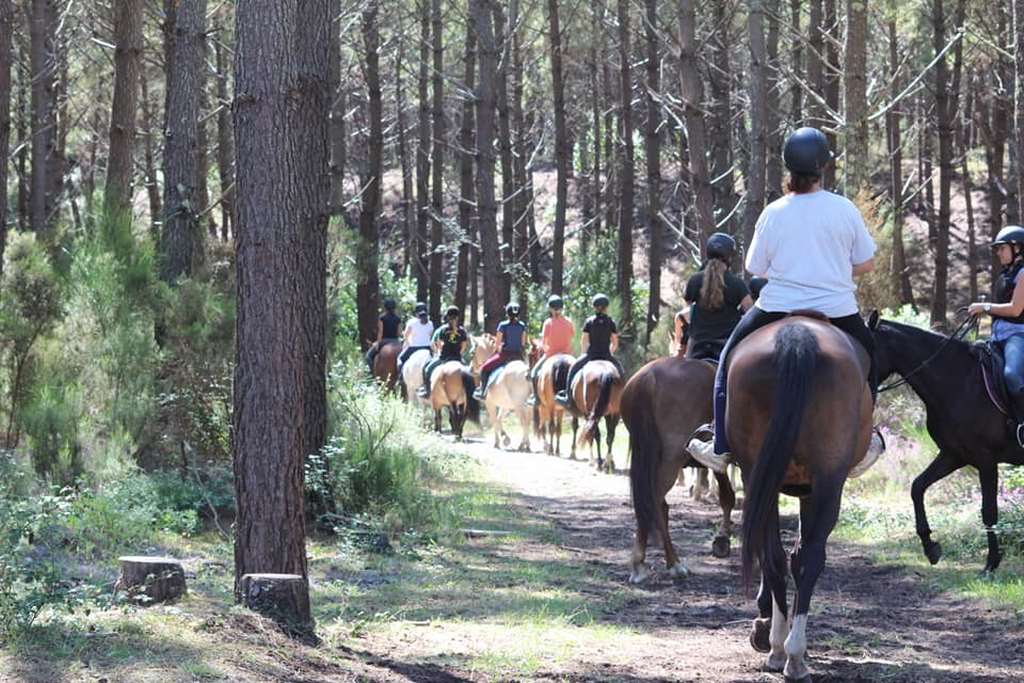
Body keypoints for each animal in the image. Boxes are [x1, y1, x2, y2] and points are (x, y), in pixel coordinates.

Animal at [623, 356, 736, 584]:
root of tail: (648, 378)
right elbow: (729, 496)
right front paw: (722, 539)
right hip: (671, 460)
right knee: (655, 500)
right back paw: (670, 563)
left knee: (654, 503)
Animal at [727, 316, 873, 681]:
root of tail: (798, 336)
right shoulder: (814, 489)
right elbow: (799, 555)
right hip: (828, 481)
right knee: (807, 558)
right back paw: (791, 654)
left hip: (758, 474)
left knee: (776, 556)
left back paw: (782, 649)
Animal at [870, 312, 1024, 573]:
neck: (957, 381)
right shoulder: (954, 455)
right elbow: (917, 487)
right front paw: (930, 547)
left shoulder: (986, 459)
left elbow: (989, 511)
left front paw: (991, 563)